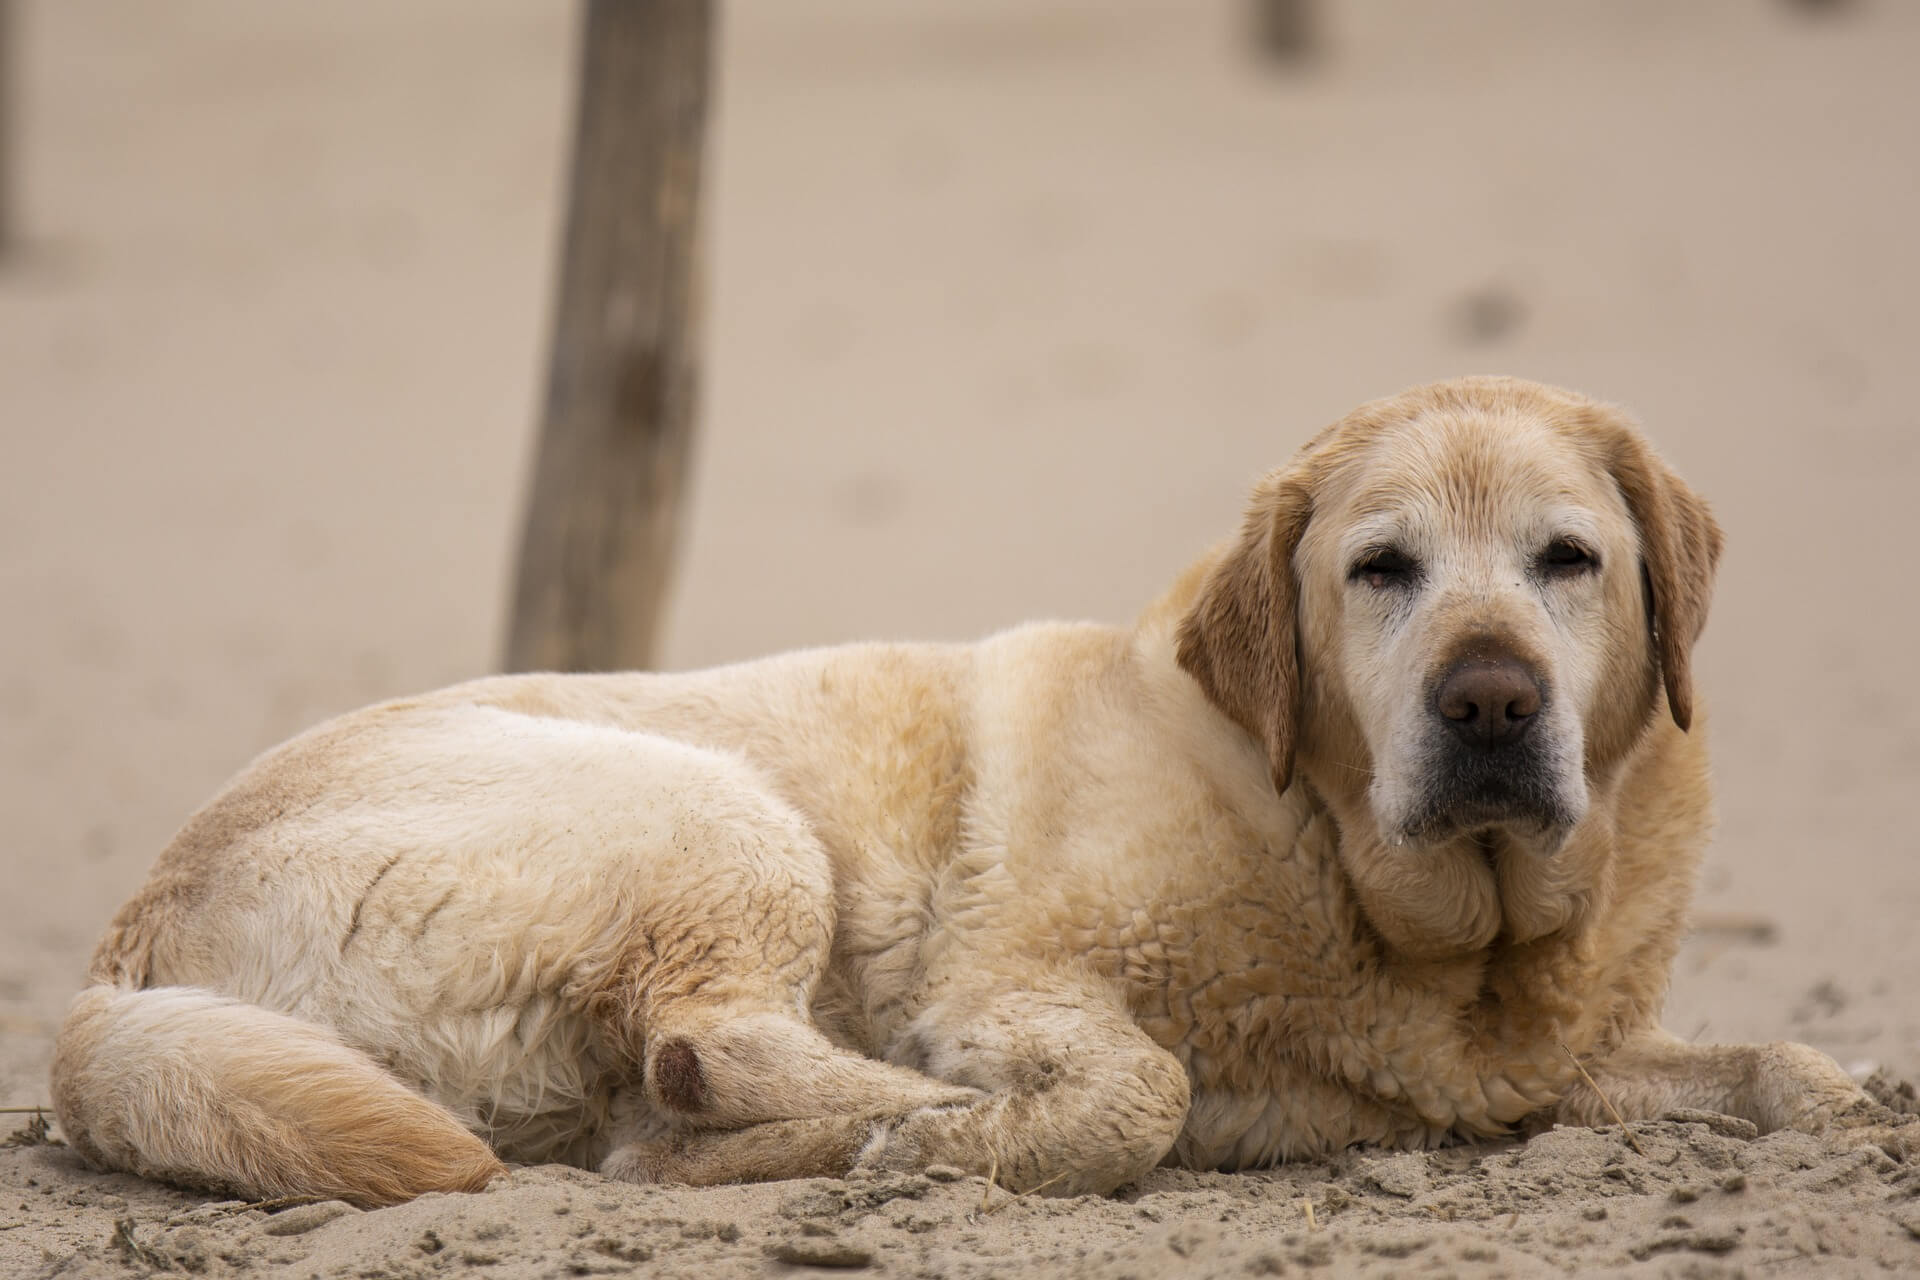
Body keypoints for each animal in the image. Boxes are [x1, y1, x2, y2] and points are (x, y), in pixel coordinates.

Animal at [52, 376, 1881, 1205]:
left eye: (1570, 561)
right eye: (1383, 570)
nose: (1491, 700)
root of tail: (115, 950)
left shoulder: (1559, 1060)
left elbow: (1771, 1066)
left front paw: (1850, 1098)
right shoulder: (1011, 980)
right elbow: (1137, 1082)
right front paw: (977, 1125)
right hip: (722, 815)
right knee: (708, 1044)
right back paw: (825, 1136)